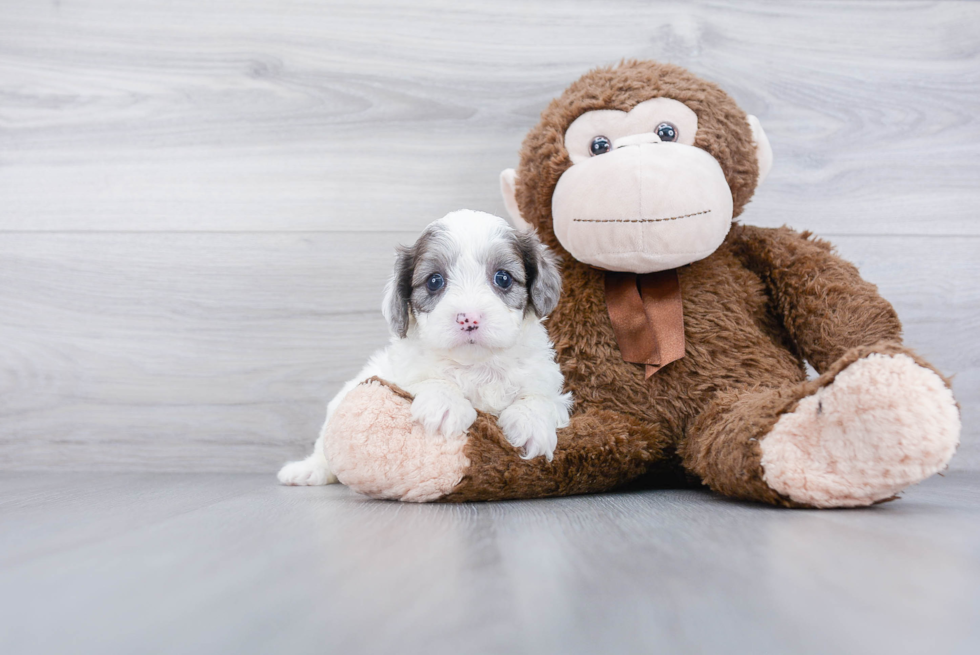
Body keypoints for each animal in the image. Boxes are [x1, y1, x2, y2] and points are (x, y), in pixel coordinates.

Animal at [278, 210, 576, 486]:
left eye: (503, 278)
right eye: (435, 281)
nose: (469, 318)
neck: (476, 364)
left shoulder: (547, 381)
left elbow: (540, 397)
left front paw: (531, 423)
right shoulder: (400, 373)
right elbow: (427, 379)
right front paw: (445, 404)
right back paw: (308, 469)